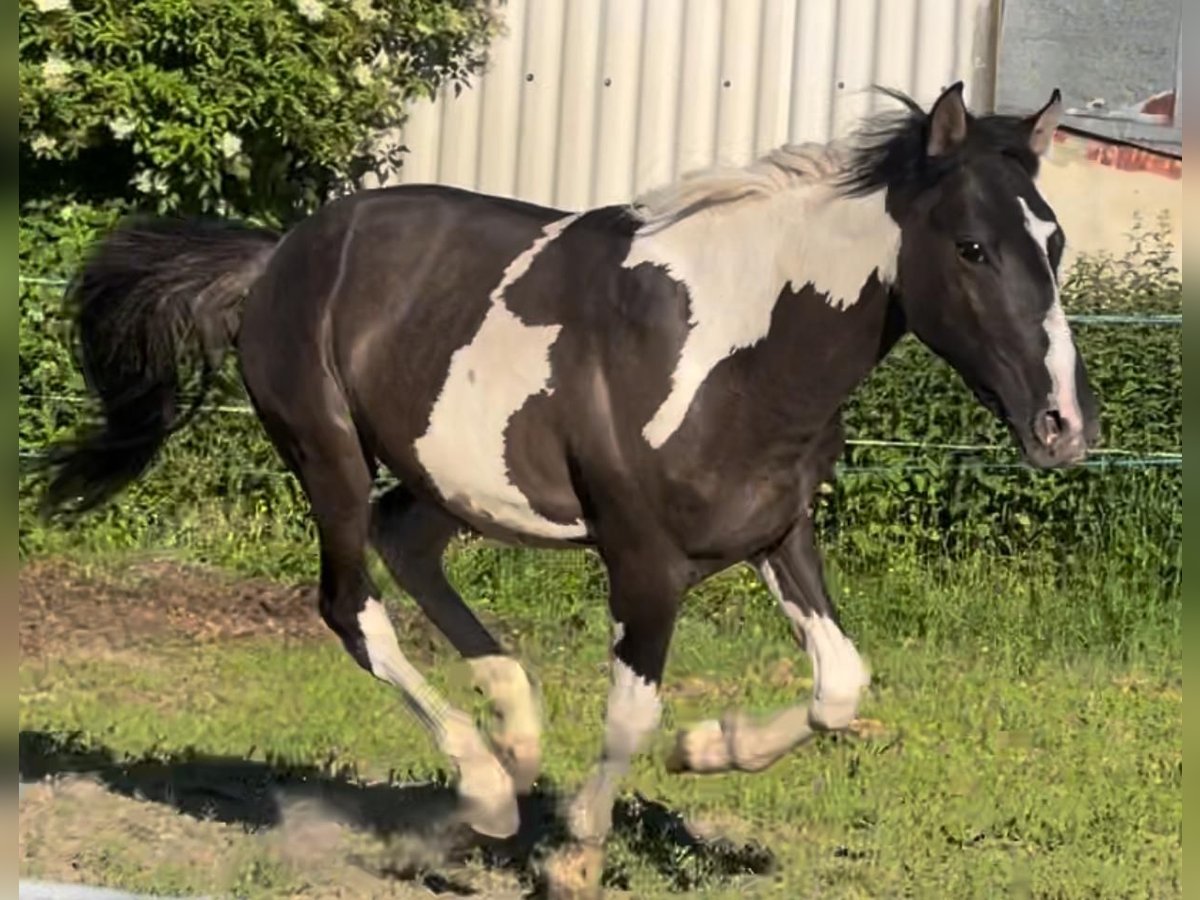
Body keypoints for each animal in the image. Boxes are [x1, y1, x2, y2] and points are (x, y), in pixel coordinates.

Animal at [42, 82, 1099, 897]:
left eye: (1055, 245)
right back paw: (486, 787)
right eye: (971, 248)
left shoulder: (777, 536)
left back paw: (514, 735)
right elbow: (632, 711)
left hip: (447, 474)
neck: (732, 356)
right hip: (325, 451)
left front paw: (705, 749)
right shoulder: (642, 560)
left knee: (405, 543)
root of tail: (277, 255)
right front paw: (579, 854)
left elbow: (842, 683)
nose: (1063, 426)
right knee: (351, 606)